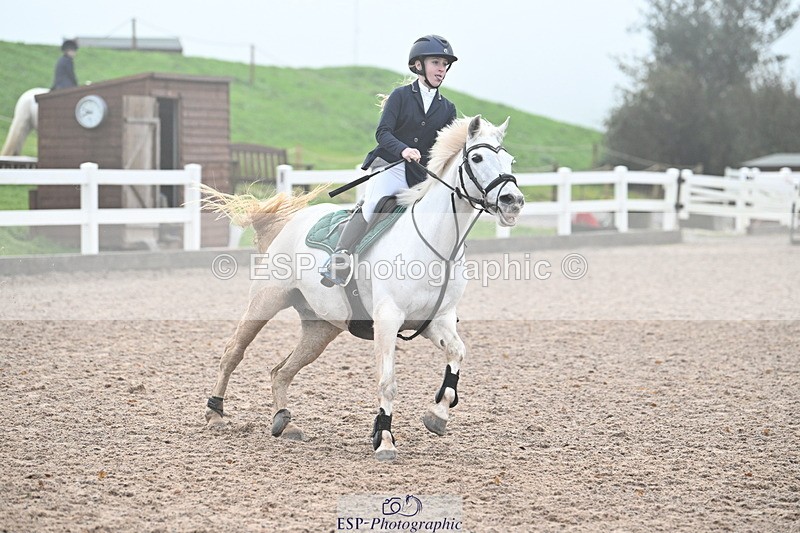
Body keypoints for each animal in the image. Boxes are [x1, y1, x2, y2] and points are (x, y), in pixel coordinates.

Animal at [201, 115, 525, 461]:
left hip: (321, 328)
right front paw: (384, 440)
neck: (437, 245)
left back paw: (284, 422)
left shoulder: (438, 320)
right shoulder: (388, 320)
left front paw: (437, 415)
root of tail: (290, 222)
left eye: (510, 160)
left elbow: (457, 354)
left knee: (281, 371)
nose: (513, 202)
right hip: (266, 301)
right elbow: (387, 382)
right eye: (476, 158)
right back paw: (215, 413)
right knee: (233, 353)